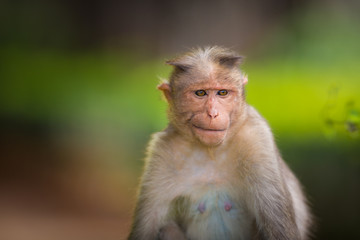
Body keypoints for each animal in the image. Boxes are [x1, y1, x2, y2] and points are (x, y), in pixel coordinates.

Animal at [128, 46, 310, 239]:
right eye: (200, 93)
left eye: (222, 92)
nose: (213, 114)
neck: (211, 151)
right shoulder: (162, 150)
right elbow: (145, 231)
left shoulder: (257, 139)